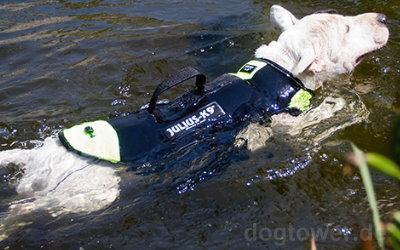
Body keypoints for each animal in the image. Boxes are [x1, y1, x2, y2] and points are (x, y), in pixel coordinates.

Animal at [0, 4, 390, 219]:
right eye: (346, 29)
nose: (385, 17)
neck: (280, 67)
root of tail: (38, 157)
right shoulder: (289, 123)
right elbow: (330, 113)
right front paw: (355, 105)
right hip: (89, 195)